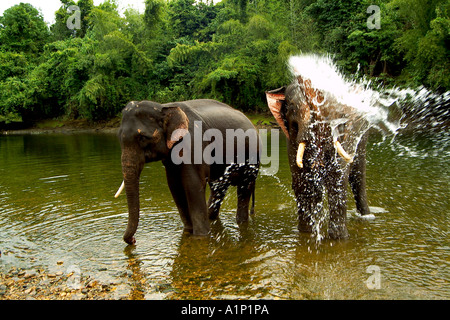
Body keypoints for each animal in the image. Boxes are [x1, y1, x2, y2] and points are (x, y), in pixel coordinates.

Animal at [114, 99, 258, 244]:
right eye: (119, 138)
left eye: (142, 138)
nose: (133, 240)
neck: (163, 107)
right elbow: (175, 186)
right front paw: (188, 230)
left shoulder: (194, 146)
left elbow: (192, 185)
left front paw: (201, 236)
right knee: (218, 189)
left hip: (252, 158)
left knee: (244, 189)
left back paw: (241, 221)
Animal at [266, 75, 370, 240]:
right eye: (292, 107)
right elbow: (302, 180)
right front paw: (307, 232)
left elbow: (337, 178)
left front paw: (339, 238)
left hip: (363, 134)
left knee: (358, 176)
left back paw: (367, 217)